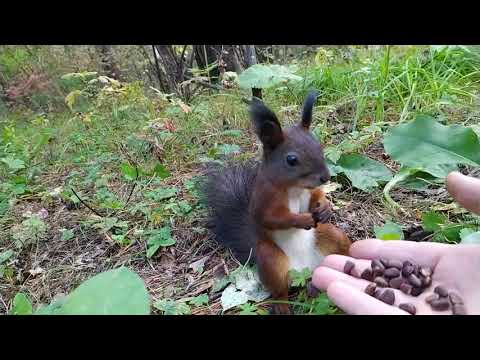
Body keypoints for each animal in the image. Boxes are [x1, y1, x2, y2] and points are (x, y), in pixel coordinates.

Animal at [203, 90, 352, 316]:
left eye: (319, 145)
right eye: (291, 160)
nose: (325, 177)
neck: (295, 187)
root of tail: (305, 270)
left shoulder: (309, 192)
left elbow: (316, 196)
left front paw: (325, 207)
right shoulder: (264, 198)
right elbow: (271, 218)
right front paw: (301, 220)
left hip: (330, 236)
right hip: (271, 259)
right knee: (279, 289)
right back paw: (282, 305)